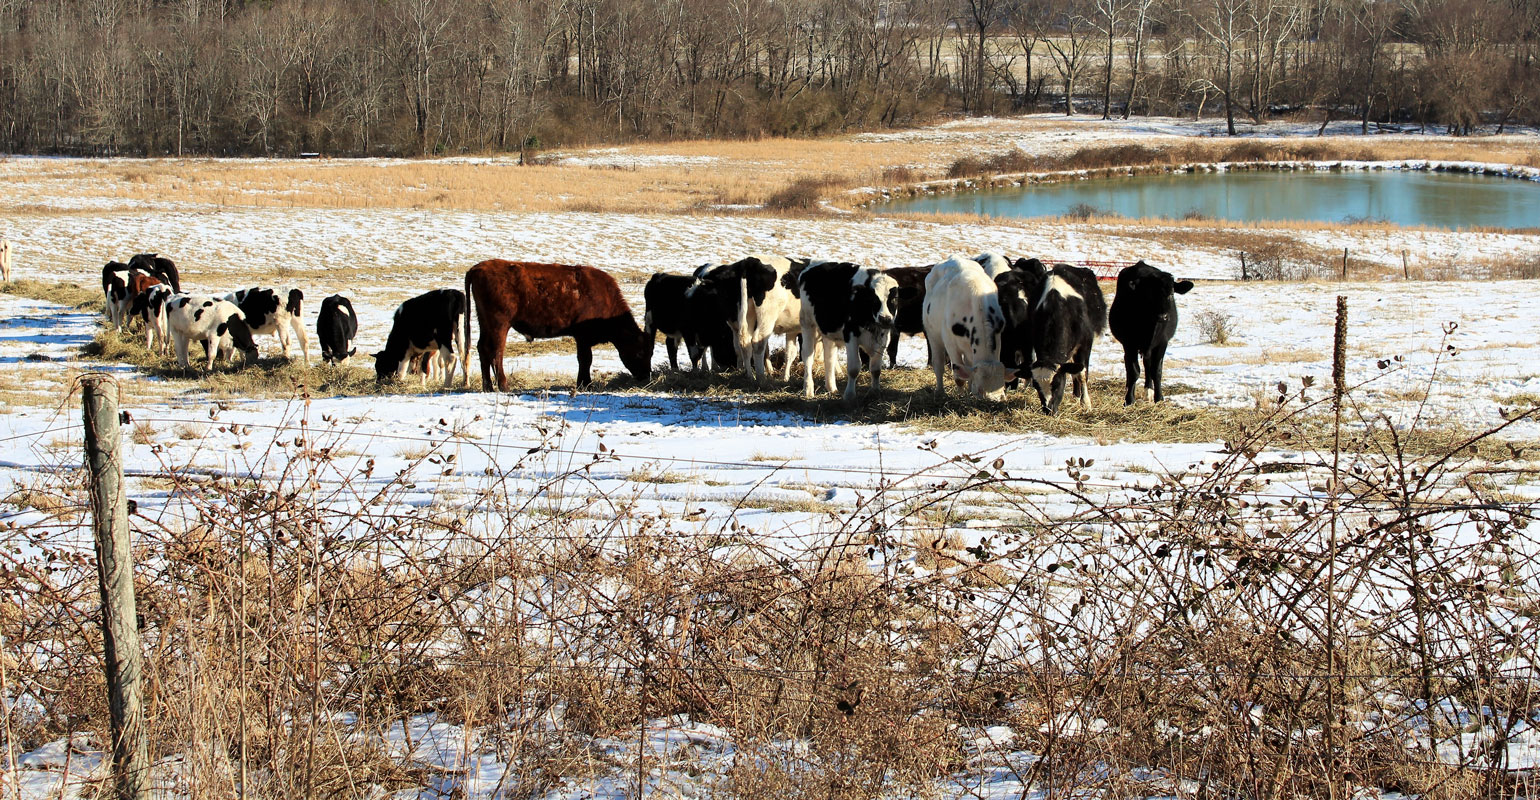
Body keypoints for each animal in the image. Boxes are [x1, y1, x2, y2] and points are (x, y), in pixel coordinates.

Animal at [455, 260, 649, 391]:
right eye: (640, 352)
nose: (645, 376)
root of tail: (478, 268)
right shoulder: (582, 337)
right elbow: (585, 359)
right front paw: (585, 384)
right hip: (499, 325)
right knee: (496, 351)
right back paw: (503, 386)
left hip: (486, 323)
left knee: (483, 348)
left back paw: (488, 387)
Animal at [800, 262, 899, 403]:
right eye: (874, 299)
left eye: (895, 298)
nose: (885, 318)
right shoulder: (851, 335)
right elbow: (853, 368)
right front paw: (849, 395)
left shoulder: (884, 338)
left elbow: (876, 369)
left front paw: (875, 392)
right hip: (807, 322)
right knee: (808, 356)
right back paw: (808, 390)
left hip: (828, 332)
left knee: (829, 357)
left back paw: (832, 388)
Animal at [917, 257, 1016, 400]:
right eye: (980, 390)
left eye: (1002, 386)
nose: (994, 400)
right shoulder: (950, 343)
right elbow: (959, 377)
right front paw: (960, 396)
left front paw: (969, 392)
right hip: (932, 333)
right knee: (938, 364)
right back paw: (940, 391)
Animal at [1028, 265, 1114, 413]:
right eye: (1036, 385)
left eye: (1056, 384)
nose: (1048, 410)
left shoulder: (1085, 344)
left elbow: (1082, 373)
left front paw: (1086, 403)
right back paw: (1075, 396)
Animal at [1114, 260, 1195, 403]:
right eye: (1150, 294)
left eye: (1171, 293)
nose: (1163, 317)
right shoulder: (1129, 343)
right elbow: (1133, 371)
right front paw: (1129, 400)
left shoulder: (1162, 342)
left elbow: (1156, 371)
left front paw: (1159, 398)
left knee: (1148, 365)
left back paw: (1149, 391)